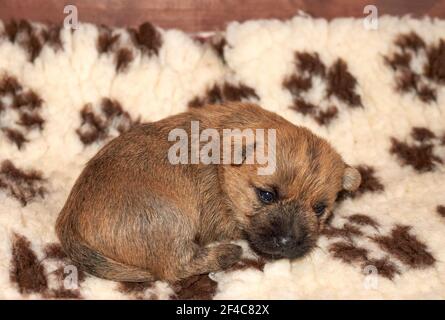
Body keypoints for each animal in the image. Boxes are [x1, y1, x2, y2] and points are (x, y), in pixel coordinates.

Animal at [55, 102, 360, 282]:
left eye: (319, 209)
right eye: (266, 195)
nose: (288, 242)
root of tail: (69, 221)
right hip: (170, 220)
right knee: (175, 267)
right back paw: (227, 254)